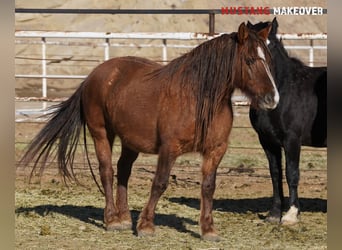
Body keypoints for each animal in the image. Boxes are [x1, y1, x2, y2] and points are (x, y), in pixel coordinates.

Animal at [20, 23, 278, 240]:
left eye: (269, 59)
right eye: (249, 60)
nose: (272, 99)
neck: (199, 99)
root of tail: (93, 75)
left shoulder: (216, 150)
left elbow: (208, 186)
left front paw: (208, 229)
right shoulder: (169, 148)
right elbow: (160, 183)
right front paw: (146, 225)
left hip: (129, 141)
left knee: (123, 171)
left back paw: (124, 217)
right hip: (101, 133)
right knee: (107, 171)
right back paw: (112, 219)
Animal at [247, 18, 328, 225]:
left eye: (272, 45)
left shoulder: (292, 140)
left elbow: (291, 173)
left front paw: (291, 215)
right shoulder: (268, 142)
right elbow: (275, 174)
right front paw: (274, 214)